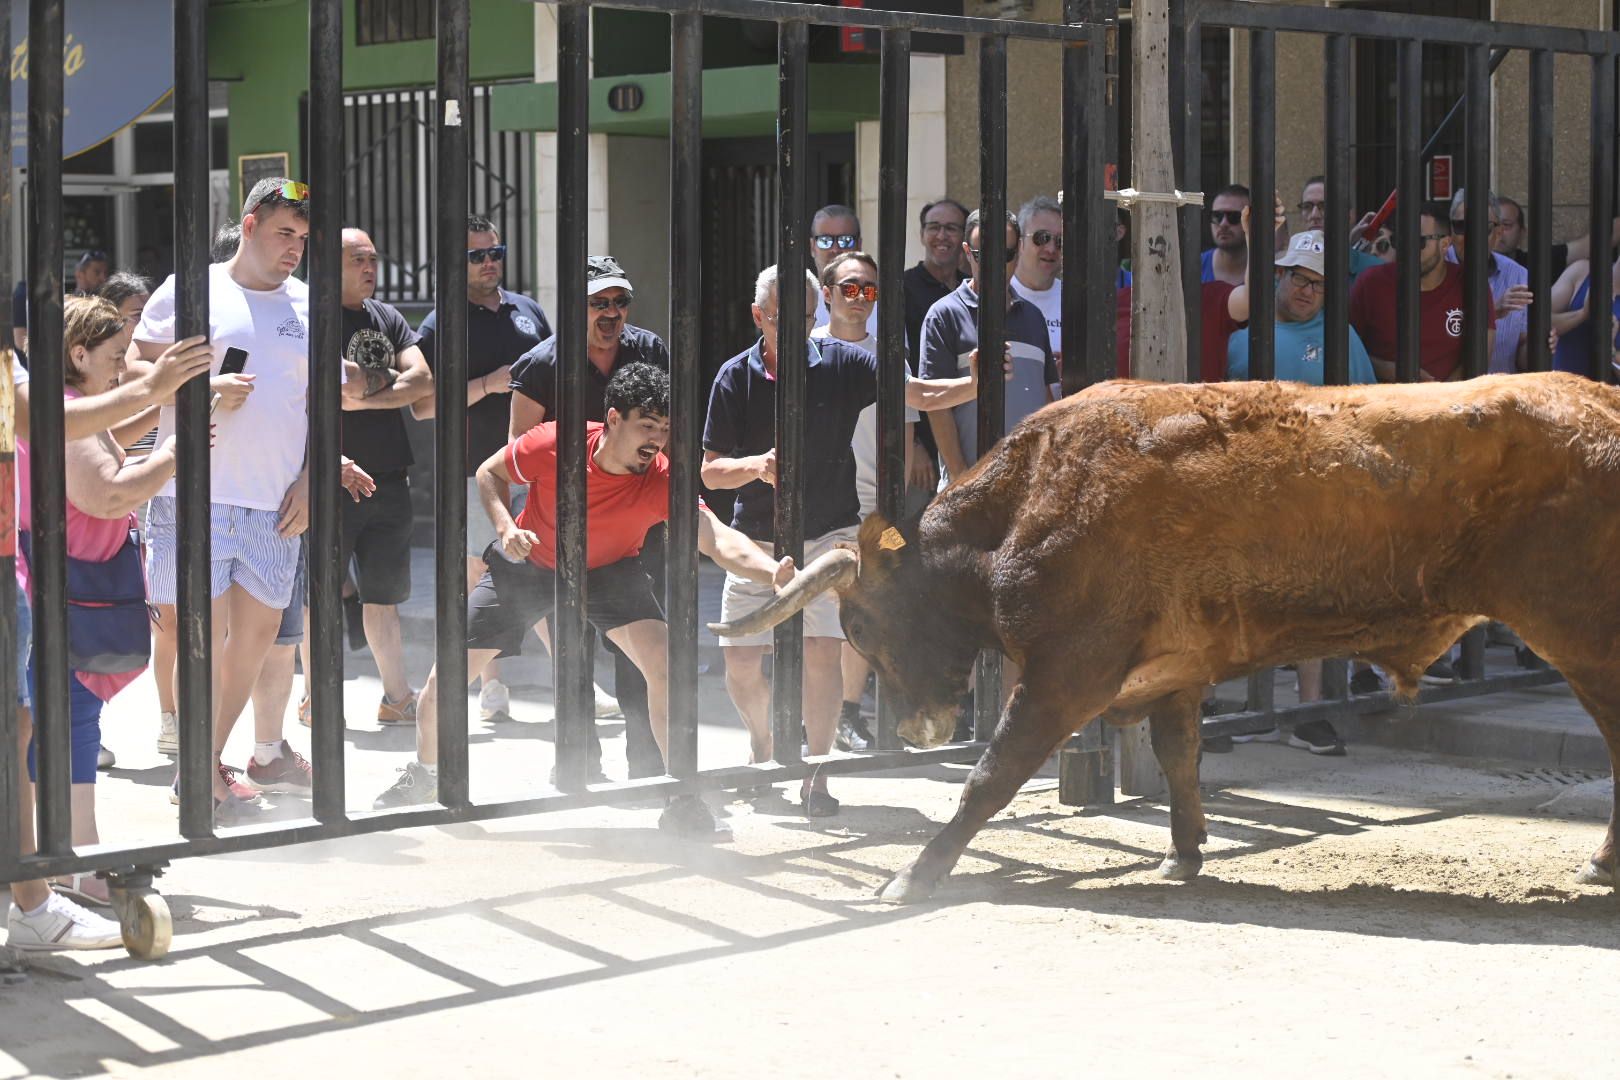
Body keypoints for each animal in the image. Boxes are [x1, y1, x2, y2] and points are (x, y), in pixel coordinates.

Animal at [716, 374, 1620, 906]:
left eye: (860, 624)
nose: (916, 727)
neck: (1028, 503)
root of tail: (1597, 400)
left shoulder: (1066, 674)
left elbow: (991, 774)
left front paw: (914, 873)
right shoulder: (1175, 672)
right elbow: (1178, 757)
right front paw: (1183, 853)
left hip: (1585, 639)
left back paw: (1603, 861)